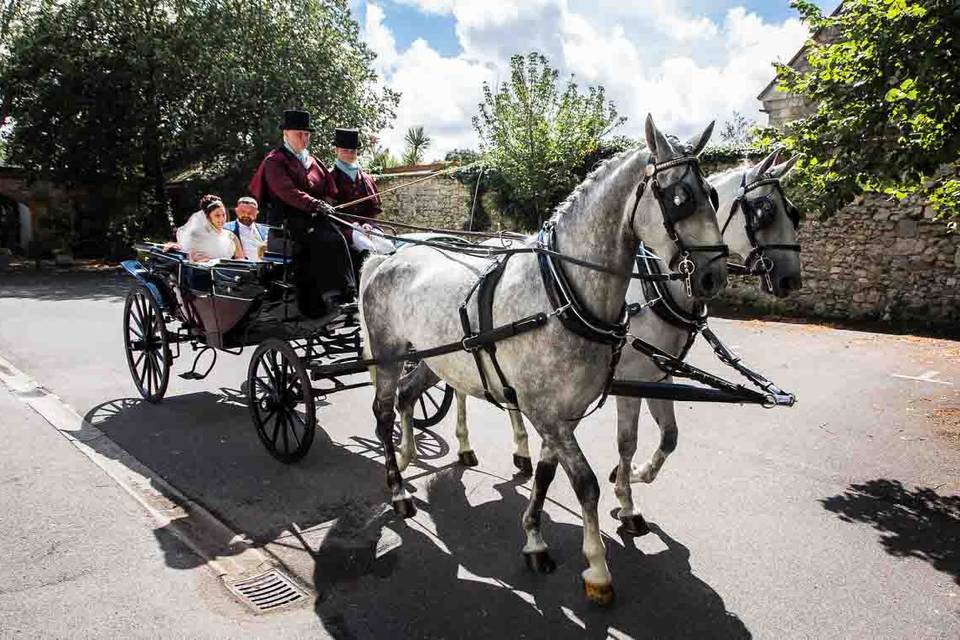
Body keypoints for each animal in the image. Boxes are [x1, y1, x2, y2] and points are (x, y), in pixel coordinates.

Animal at [360, 116, 728, 604]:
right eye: (680, 198)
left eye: (713, 195)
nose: (713, 276)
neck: (560, 293)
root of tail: (388, 256)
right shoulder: (544, 411)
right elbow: (585, 484)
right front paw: (597, 569)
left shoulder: (561, 414)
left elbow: (547, 474)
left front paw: (534, 538)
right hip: (387, 353)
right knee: (383, 412)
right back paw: (398, 488)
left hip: (434, 360)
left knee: (406, 396)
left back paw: (406, 458)